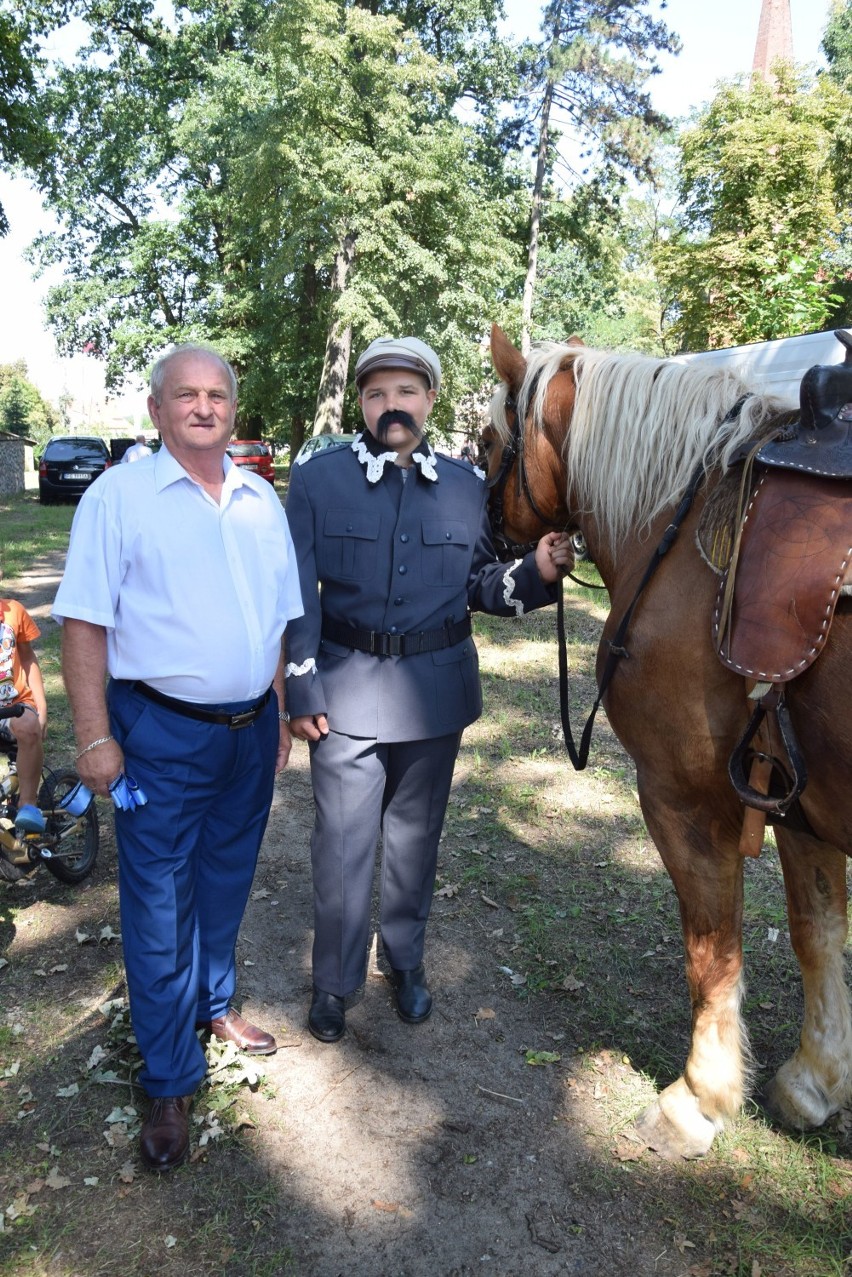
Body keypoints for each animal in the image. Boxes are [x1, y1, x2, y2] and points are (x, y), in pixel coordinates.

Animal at [485, 321, 852, 1159]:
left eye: (488, 441)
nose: (486, 538)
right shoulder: (799, 803)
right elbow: (817, 931)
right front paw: (815, 1078)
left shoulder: (686, 800)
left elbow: (711, 947)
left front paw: (699, 1099)